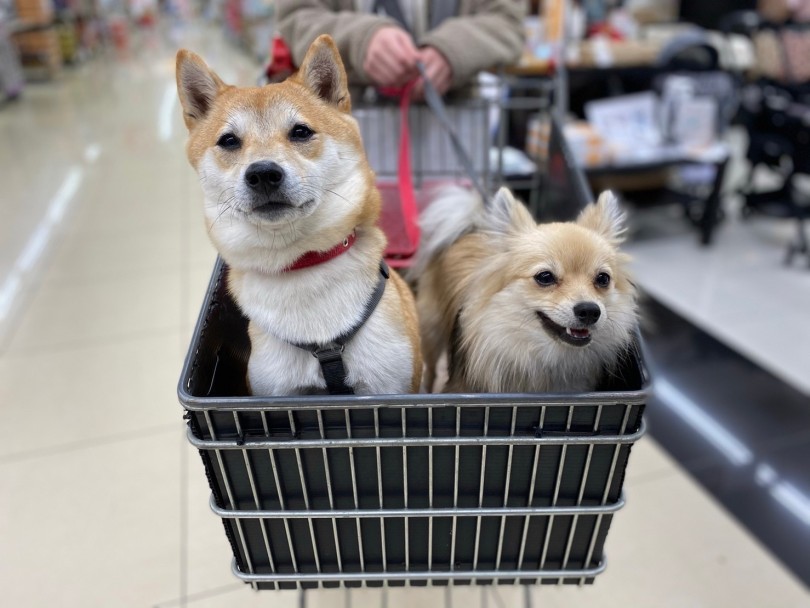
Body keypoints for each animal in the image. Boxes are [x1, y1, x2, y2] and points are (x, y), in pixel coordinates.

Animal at [174, 36, 420, 400]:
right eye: (229, 140)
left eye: (301, 132)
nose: (263, 173)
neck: (302, 265)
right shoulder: (275, 390)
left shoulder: (391, 387)